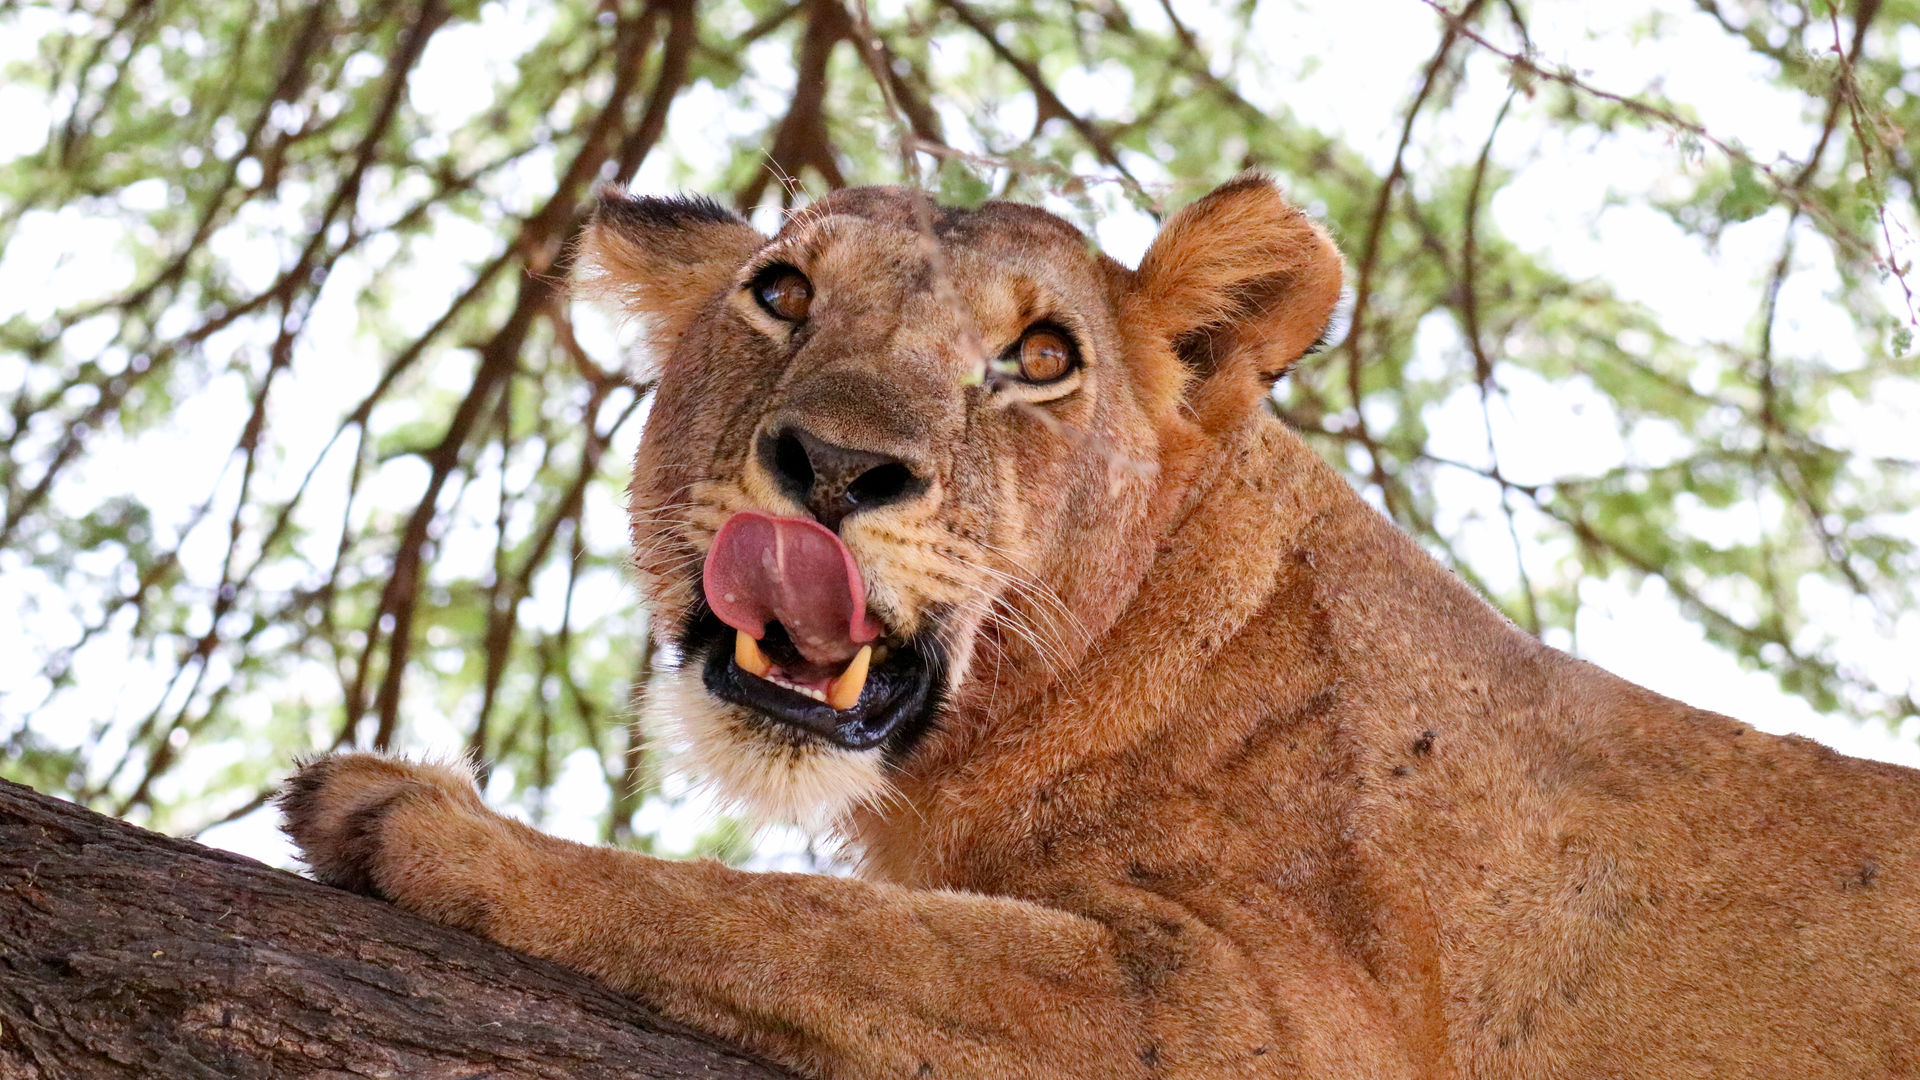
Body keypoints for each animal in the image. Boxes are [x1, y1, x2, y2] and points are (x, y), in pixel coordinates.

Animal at [274, 178, 1920, 1076]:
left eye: (1041, 357)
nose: (836, 470)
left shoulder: (1273, 1019)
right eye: (782, 291)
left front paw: (421, 819)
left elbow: (799, 920)